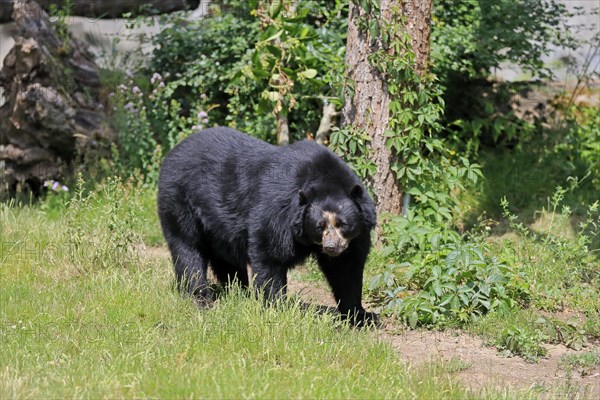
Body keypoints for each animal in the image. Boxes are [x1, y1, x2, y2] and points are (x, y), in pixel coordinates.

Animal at [157, 126, 378, 326]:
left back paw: (238, 292)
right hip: (180, 202)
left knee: (225, 258)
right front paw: (276, 308)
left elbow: (346, 269)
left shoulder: (356, 236)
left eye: (343, 224)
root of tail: (172, 154)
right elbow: (269, 253)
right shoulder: (277, 210)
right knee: (187, 247)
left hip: (218, 227)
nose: (331, 247)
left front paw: (361, 316)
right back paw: (200, 296)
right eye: (319, 226)